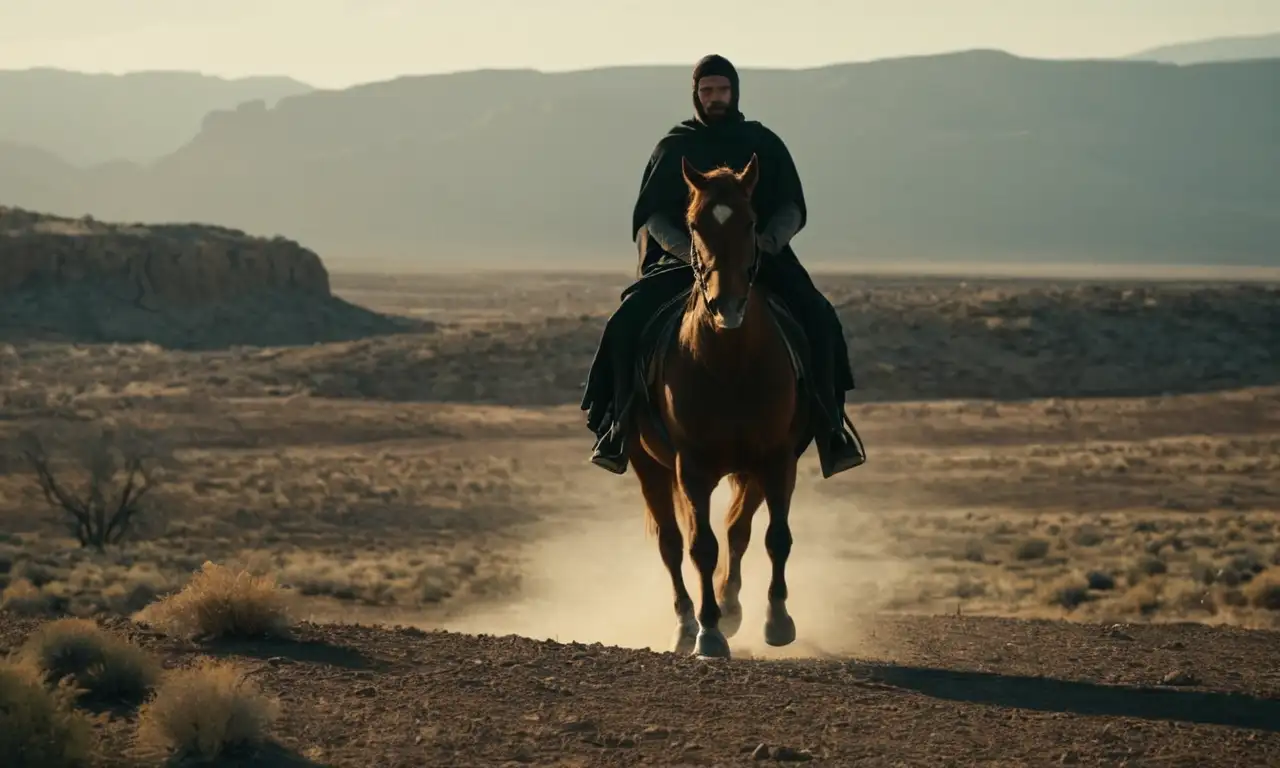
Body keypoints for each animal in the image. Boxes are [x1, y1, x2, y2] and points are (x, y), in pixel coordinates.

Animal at [622, 151, 808, 660]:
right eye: (694, 223)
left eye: (751, 221)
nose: (727, 305)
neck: (729, 364)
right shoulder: (693, 466)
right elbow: (700, 546)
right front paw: (708, 633)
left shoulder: (777, 458)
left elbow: (774, 536)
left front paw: (776, 620)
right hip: (648, 464)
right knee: (671, 542)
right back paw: (687, 623)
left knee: (737, 530)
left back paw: (731, 605)